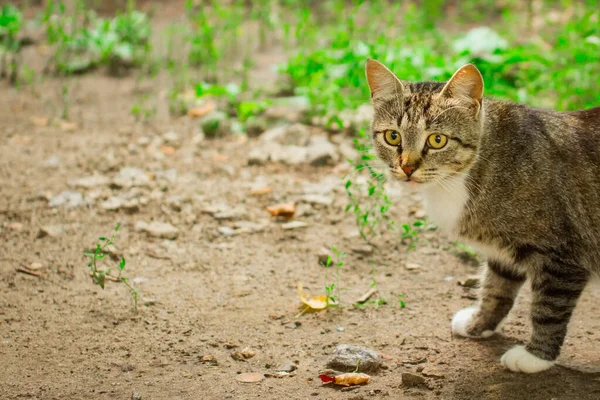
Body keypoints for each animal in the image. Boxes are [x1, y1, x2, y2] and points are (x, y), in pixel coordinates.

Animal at [366, 57, 600, 374]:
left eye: (437, 140)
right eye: (393, 136)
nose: (407, 168)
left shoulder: (564, 255)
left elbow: (549, 308)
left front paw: (536, 357)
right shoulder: (504, 249)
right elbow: (495, 288)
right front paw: (479, 324)